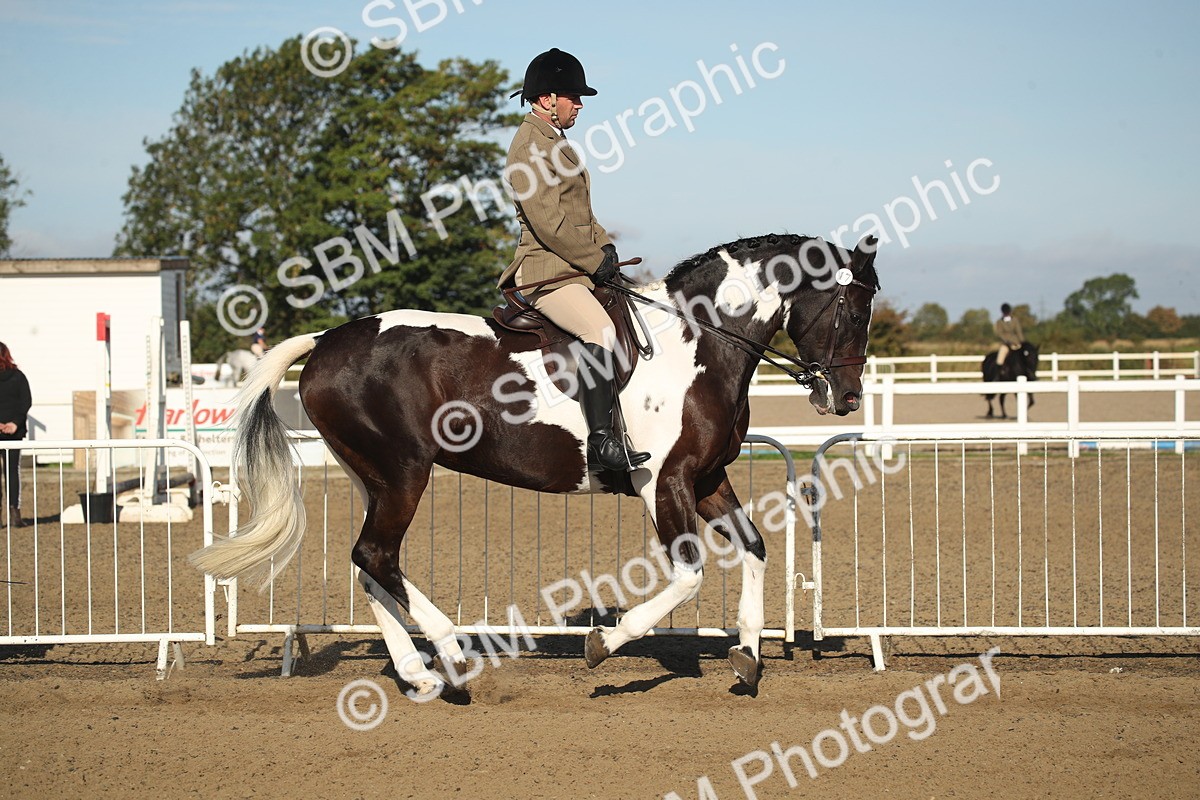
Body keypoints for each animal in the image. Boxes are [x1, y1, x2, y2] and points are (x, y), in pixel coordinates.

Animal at [190, 233, 880, 696]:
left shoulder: (707, 478)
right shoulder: (665, 483)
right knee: (376, 556)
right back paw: (451, 658)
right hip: (404, 472)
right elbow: (688, 577)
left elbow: (756, 547)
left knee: (370, 565)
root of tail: (326, 342)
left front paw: (749, 659)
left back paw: (419, 674)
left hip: (374, 479)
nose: (844, 398)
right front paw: (604, 643)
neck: (699, 341)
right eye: (851, 309)